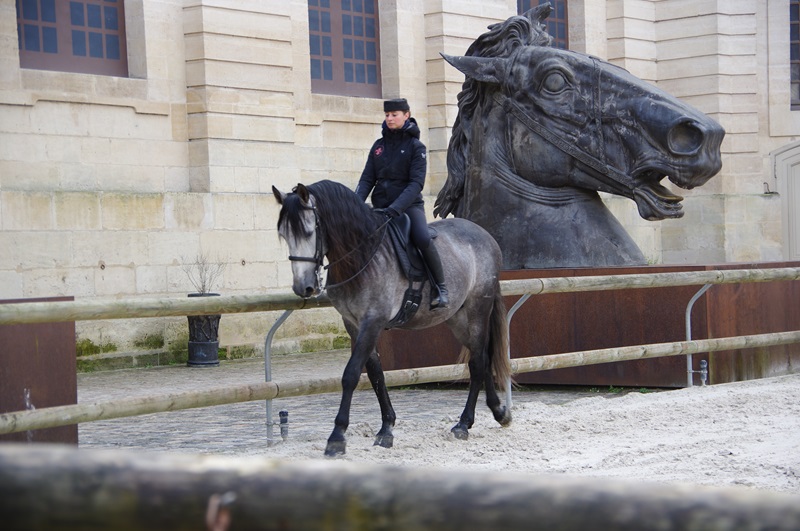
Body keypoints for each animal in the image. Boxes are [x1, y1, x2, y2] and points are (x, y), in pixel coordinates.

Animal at [273, 180, 512, 456]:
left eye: (309, 231)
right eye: (283, 234)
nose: (304, 287)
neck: (362, 257)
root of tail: (485, 235)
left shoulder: (373, 321)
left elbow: (351, 374)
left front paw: (337, 436)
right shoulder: (354, 324)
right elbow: (376, 374)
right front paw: (386, 428)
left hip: (477, 311)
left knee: (478, 362)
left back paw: (464, 423)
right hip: (457, 319)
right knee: (481, 358)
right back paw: (498, 412)